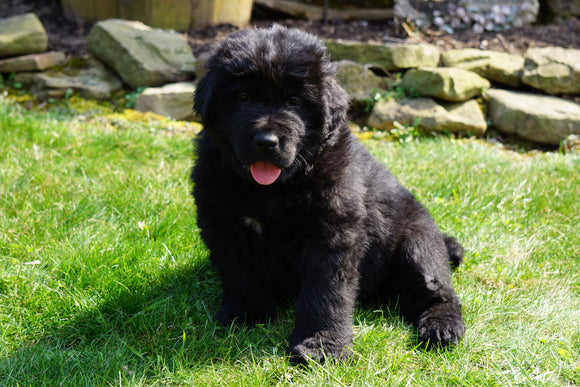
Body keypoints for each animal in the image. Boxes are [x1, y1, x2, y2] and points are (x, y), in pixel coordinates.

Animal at [193, 25, 464, 366]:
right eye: (242, 98)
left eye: (294, 101)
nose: (266, 141)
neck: (272, 191)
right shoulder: (221, 224)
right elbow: (239, 274)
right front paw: (245, 313)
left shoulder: (332, 234)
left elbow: (325, 294)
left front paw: (321, 347)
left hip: (417, 244)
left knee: (438, 291)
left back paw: (442, 327)